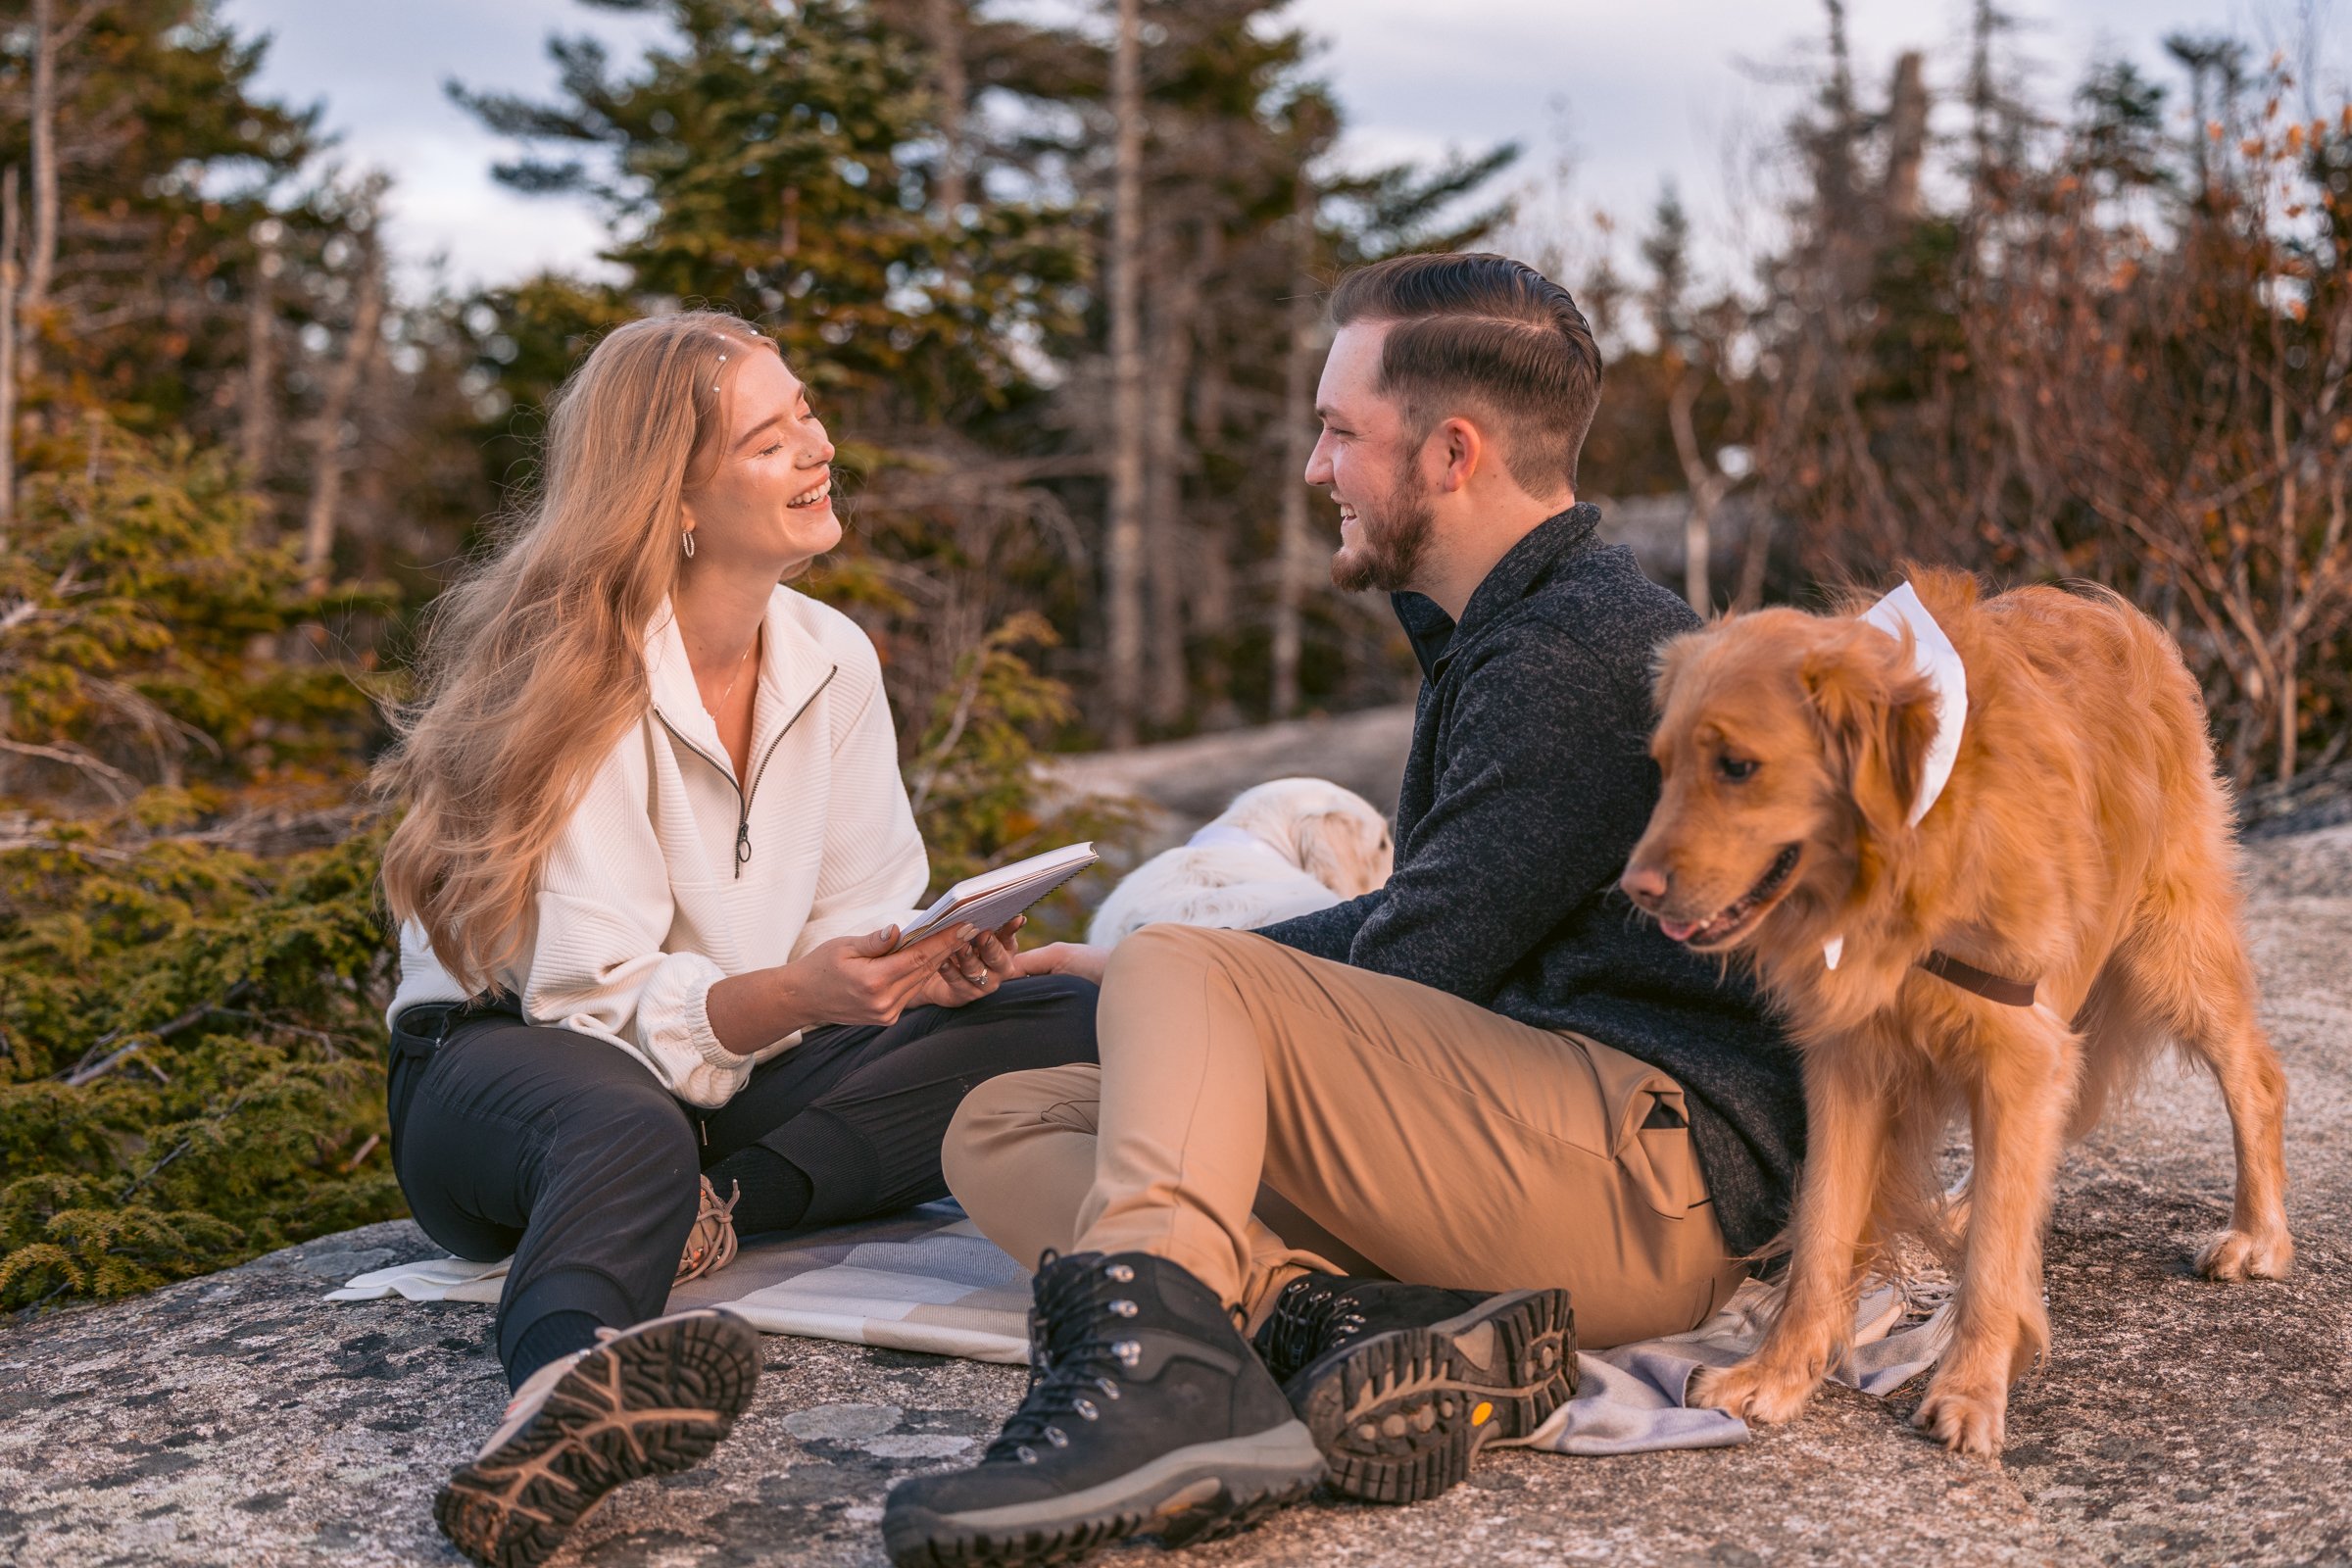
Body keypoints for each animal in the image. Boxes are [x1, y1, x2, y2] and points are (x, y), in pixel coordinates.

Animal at [1627, 573, 2285, 1457]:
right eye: (1662, 768)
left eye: (1738, 766)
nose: (1634, 890)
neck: (1909, 852)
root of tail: (2121, 614)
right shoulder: (1849, 1059)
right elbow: (1824, 1232)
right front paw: (1777, 1374)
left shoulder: (2020, 1045)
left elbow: (1995, 1262)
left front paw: (1971, 1391)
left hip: (2170, 951)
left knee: (2255, 1076)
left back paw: (2259, 1236)